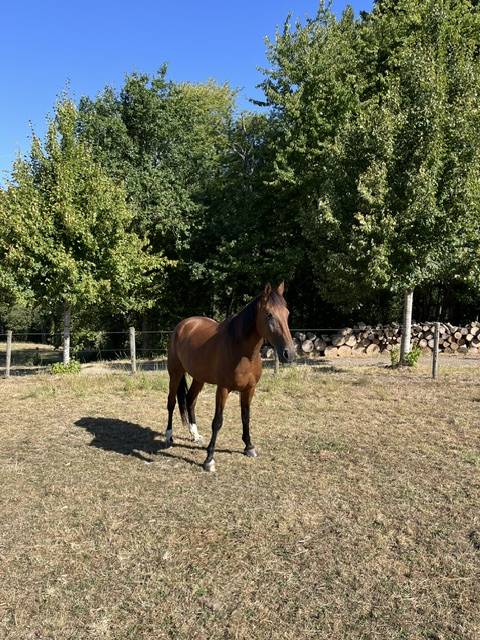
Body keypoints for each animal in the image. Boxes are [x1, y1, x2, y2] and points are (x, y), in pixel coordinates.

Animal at [164, 283, 296, 471]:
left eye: (287, 313)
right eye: (269, 314)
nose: (289, 353)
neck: (242, 351)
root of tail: (183, 325)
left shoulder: (249, 389)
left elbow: (246, 417)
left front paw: (249, 447)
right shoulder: (223, 389)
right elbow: (217, 421)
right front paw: (209, 459)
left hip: (199, 377)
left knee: (190, 400)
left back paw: (195, 435)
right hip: (175, 373)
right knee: (171, 402)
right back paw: (168, 436)